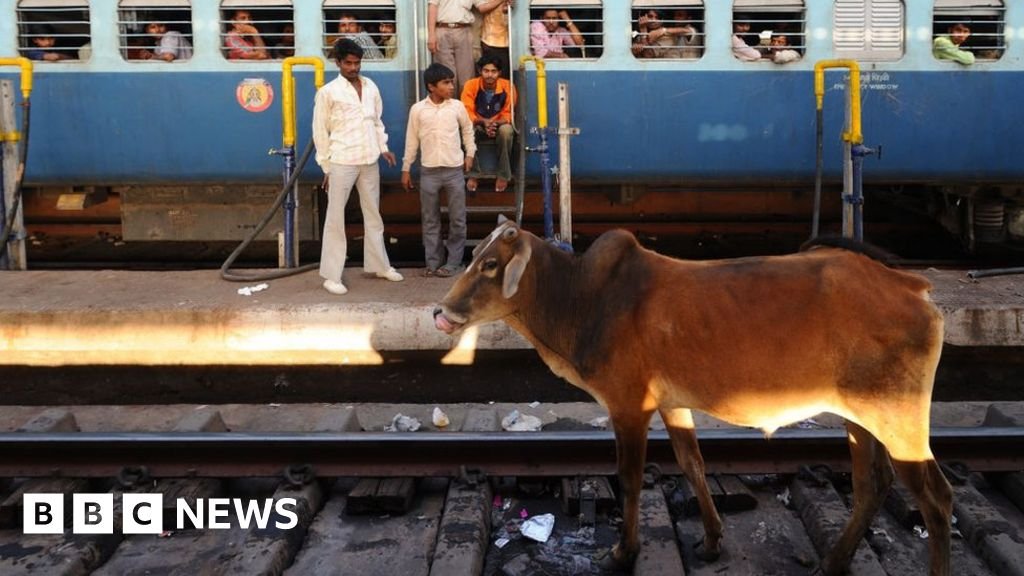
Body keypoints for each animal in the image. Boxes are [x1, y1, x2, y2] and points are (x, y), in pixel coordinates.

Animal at [432, 217, 950, 569]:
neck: (581, 299)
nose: (440, 312)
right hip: (860, 416)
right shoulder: (672, 405)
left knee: (937, 499)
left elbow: (630, 478)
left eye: (491, 264)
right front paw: (712, 539)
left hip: (898, 417)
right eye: (475, 256)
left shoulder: (629, 405)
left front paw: (623, 551)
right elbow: (692, 463)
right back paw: (834, 561)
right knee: (872, 484)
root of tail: (910, 284)